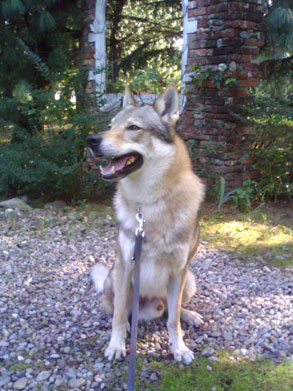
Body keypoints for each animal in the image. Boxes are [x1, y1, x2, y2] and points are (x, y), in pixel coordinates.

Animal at [87, 85, 203, 364]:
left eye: (133, 128)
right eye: (110, 125)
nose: (91, 140)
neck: (148, 204)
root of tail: (151, 306)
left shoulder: (179, 270)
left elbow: (173, 320)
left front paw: (179, 348)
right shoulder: (126, 265)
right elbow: (118, 315)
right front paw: (116, 345)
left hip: (189, 280)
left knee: (172, 310)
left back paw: (189, 315)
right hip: (115, 278)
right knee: (116, 309)